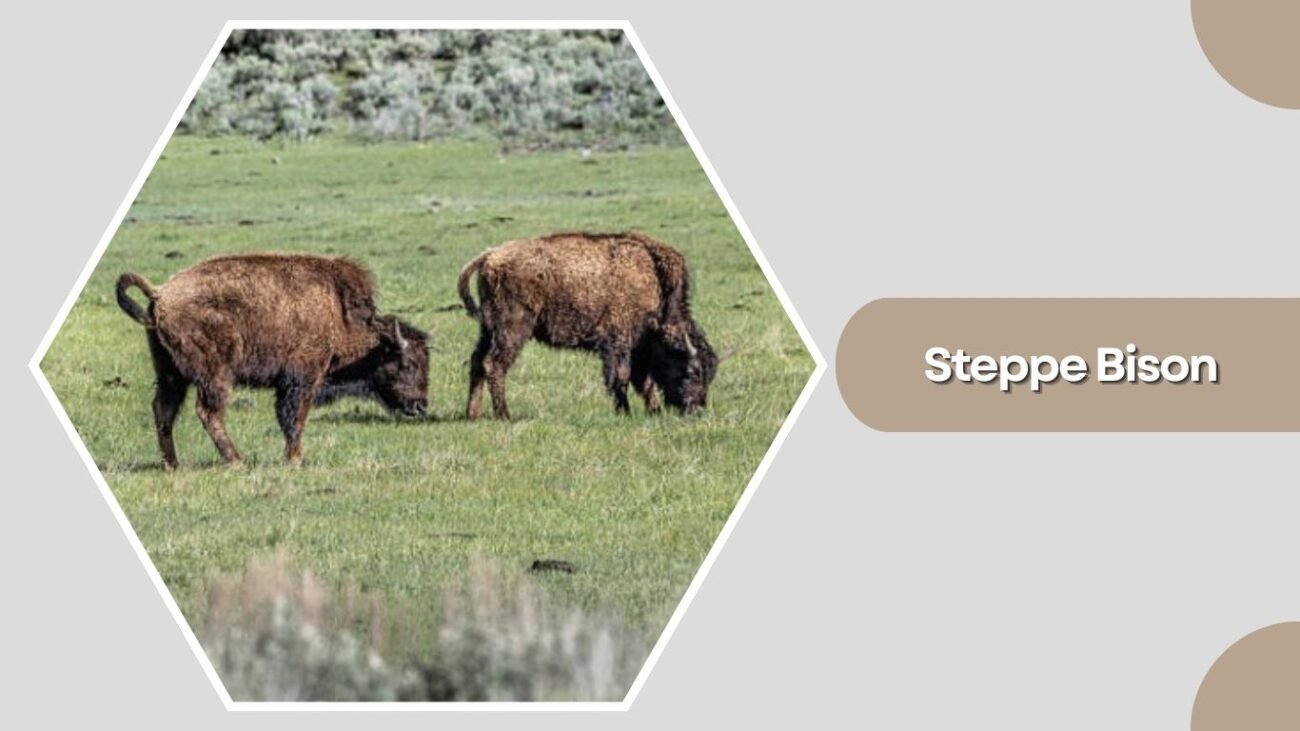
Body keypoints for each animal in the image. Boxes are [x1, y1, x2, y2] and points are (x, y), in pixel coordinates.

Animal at [115, 253, 429, 468]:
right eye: (408, 363)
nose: (421, 405)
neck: (340, 317)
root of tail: (160, 293)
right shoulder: (303, 379)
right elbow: (295, 419)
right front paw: (295, 459)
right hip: (214, 376)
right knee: (208, 412)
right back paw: (236, 461)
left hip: (170, 373)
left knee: (164, 409)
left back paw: (173, 465)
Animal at [456, 231, 717, 419]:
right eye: (691, 371)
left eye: (710, 375)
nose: (696, 409)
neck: (652, 277)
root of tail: (491, 256)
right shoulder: (618, 342)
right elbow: (622, 377)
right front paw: (624, 412)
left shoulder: (638, 348)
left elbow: (644, 381)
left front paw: (654, 410)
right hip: (513, 329)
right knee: (494, 364)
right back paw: (504, 415)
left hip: (487, 329)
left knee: (477, 361)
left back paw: (473, 414)